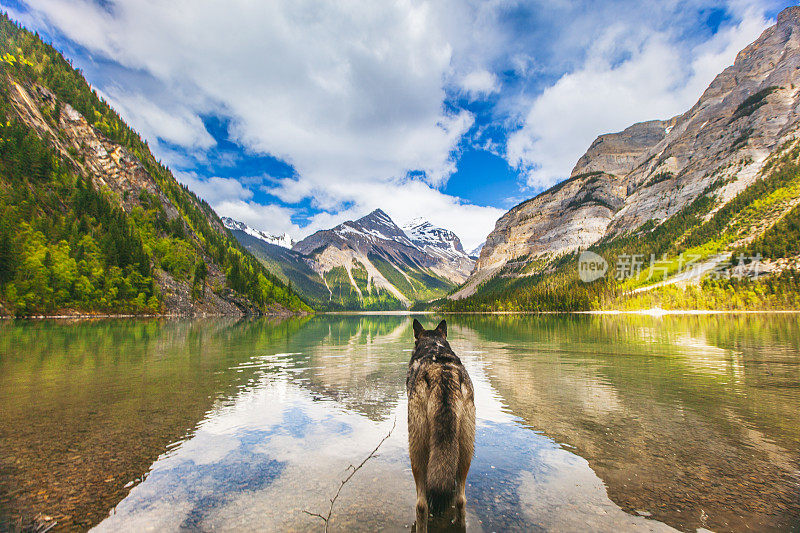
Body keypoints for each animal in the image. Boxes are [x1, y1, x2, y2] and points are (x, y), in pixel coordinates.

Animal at [406, 318, 476, 528]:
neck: (434, 345)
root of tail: (443, 377)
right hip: (466, 447)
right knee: (460, 499)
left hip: (417, 447)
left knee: (422, 504)